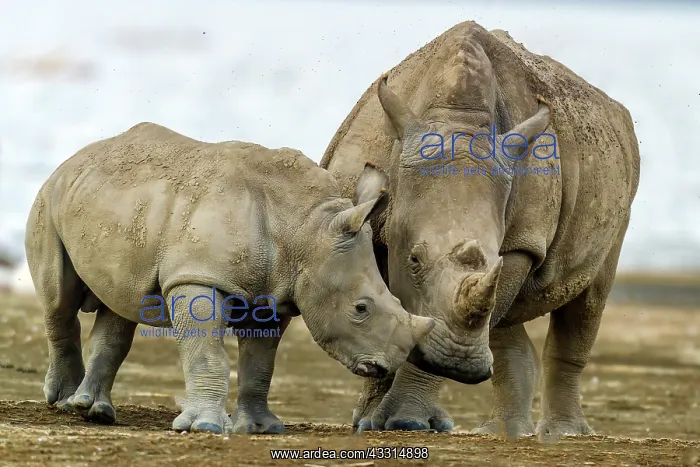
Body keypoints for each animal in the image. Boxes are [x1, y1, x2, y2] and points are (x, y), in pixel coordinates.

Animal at [24, 122, 436, 434]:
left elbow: (260, 363)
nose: (388, 363)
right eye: (360, 308)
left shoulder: (275, 293)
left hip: (113, 206)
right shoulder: (197, 276)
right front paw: (204, 427)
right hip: (49, 197)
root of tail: (74, 159)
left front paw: (261, 428)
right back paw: (64, 401)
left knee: (120, 307)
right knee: (59, 300)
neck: (305, 229)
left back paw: (93, 411)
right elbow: (208, 354)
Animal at [320, 21, 640, 437]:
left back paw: (558, 434)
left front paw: (404, 421)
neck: (454, 120)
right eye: (413, 260)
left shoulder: (520, 243)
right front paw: (370, 422)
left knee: (587, 297)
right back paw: (503, 432)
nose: (459, 363)